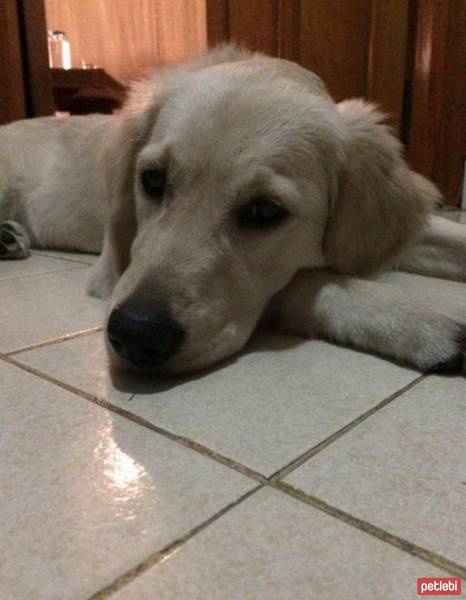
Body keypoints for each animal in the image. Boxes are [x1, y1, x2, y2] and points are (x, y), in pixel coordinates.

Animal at [0, 48, 466, 376]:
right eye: (152, 179)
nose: (135, 332)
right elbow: (305, 281)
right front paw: (426, 323)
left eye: (263, 211)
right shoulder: (110, 274)